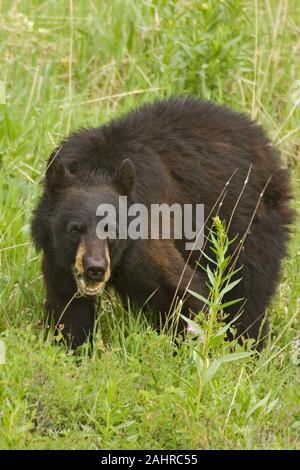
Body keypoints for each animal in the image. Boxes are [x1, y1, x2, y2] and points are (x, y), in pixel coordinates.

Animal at [31, 96, 294, 348]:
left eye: (111, 230)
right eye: (75, 229)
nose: (95, 268)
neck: (96, 167)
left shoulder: (145, 239)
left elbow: (184, 291)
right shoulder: (57, 258)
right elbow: (68, 309)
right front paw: (73, 348)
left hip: (247, 223)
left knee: (248, 288)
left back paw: (248, 346)